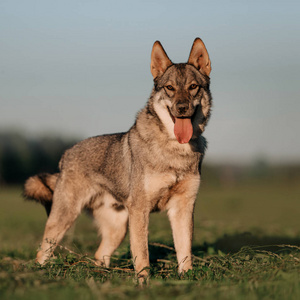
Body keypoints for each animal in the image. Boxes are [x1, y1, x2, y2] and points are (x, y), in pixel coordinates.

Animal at [24, 38, 212, 282]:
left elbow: (185, 251)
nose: (181, 108)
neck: (174, 149)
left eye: (193, 87)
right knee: (42, 252)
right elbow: (142, 254)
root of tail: (65, 157)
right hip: (64, 219)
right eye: (170, 88)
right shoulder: (140, 211)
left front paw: (187, 278)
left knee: (99, 254)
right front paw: (144, 283)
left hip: (118, 228)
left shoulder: (183, 207)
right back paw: (40, 274)